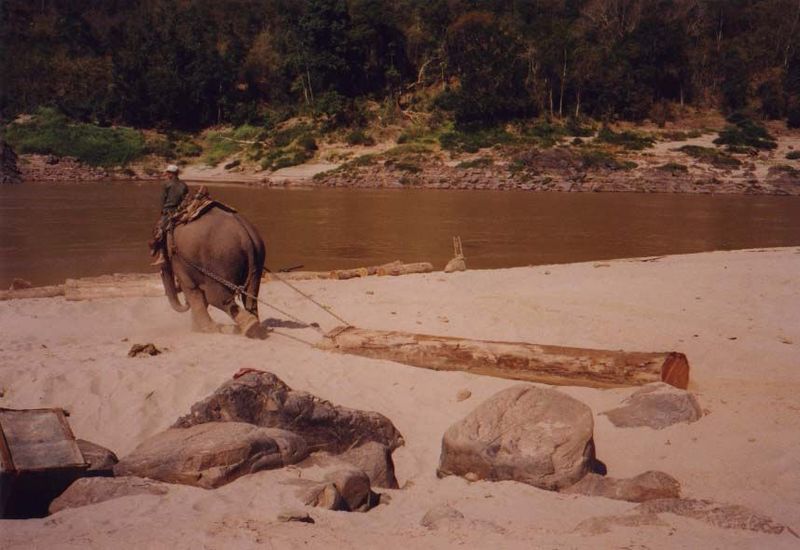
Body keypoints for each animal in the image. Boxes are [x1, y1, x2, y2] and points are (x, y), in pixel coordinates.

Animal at [160, 206, 268, 338]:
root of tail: (245, 236)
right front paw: (197, 329)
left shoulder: (179, 261)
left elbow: (192, 290)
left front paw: (205, 329)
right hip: (257, 257)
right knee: (251, 295)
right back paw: (253, 328)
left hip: (220, 262)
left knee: (217, 297)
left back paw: (249, 326)